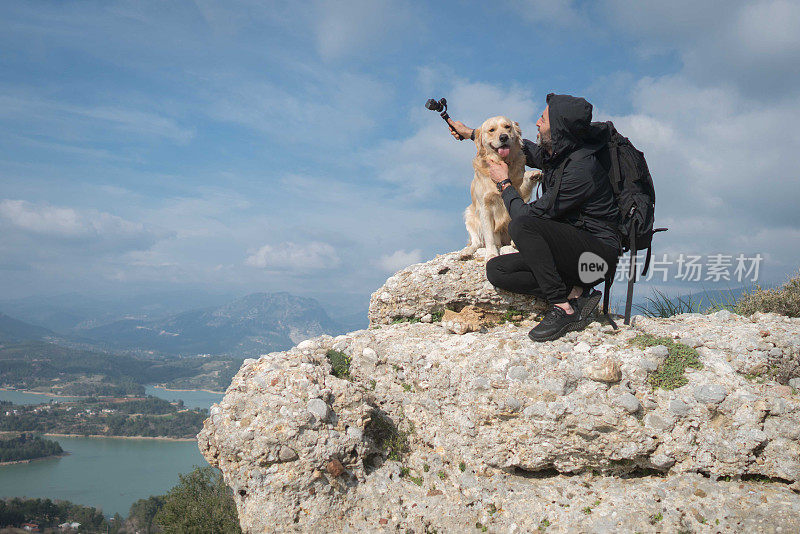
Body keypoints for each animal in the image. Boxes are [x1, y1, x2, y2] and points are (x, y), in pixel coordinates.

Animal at [460, 116, 540, 260]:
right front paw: (491, 254)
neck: (501, 161)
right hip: (469, 215)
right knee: (477, 242)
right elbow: (489, 236)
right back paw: (467, 252)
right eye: (491, 130)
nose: (503, 137)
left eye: (507, 127)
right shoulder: (485, 206)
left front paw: (533, 174)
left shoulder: (518, 193)